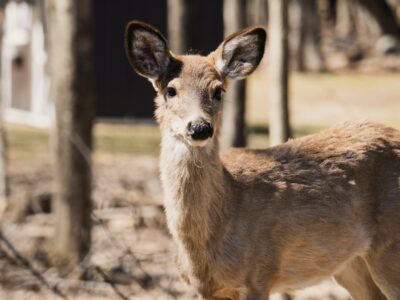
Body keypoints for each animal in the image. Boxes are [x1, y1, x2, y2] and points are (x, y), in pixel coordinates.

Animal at [124, 21, 400, 300]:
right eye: (170, 90)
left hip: (390, 248)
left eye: (218, 90)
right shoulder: (206, 289)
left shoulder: (258, 274)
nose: (200, 127)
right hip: (351, 265)